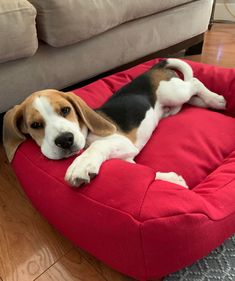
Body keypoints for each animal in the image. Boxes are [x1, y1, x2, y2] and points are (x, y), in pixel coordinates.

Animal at [3, 58, 226, 188]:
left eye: (65, 110)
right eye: (35, 125)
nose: (65, 140)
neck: (86, 135)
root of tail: (154, 67)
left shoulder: (120, 141)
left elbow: (98, 147)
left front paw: (81, 165)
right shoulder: (127, 157)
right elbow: (146, 173)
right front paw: (171, 180)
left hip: (173, 92)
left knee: (195, 82)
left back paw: (216, 99)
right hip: (175, 104)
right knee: (191, 97)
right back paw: (205, 103)